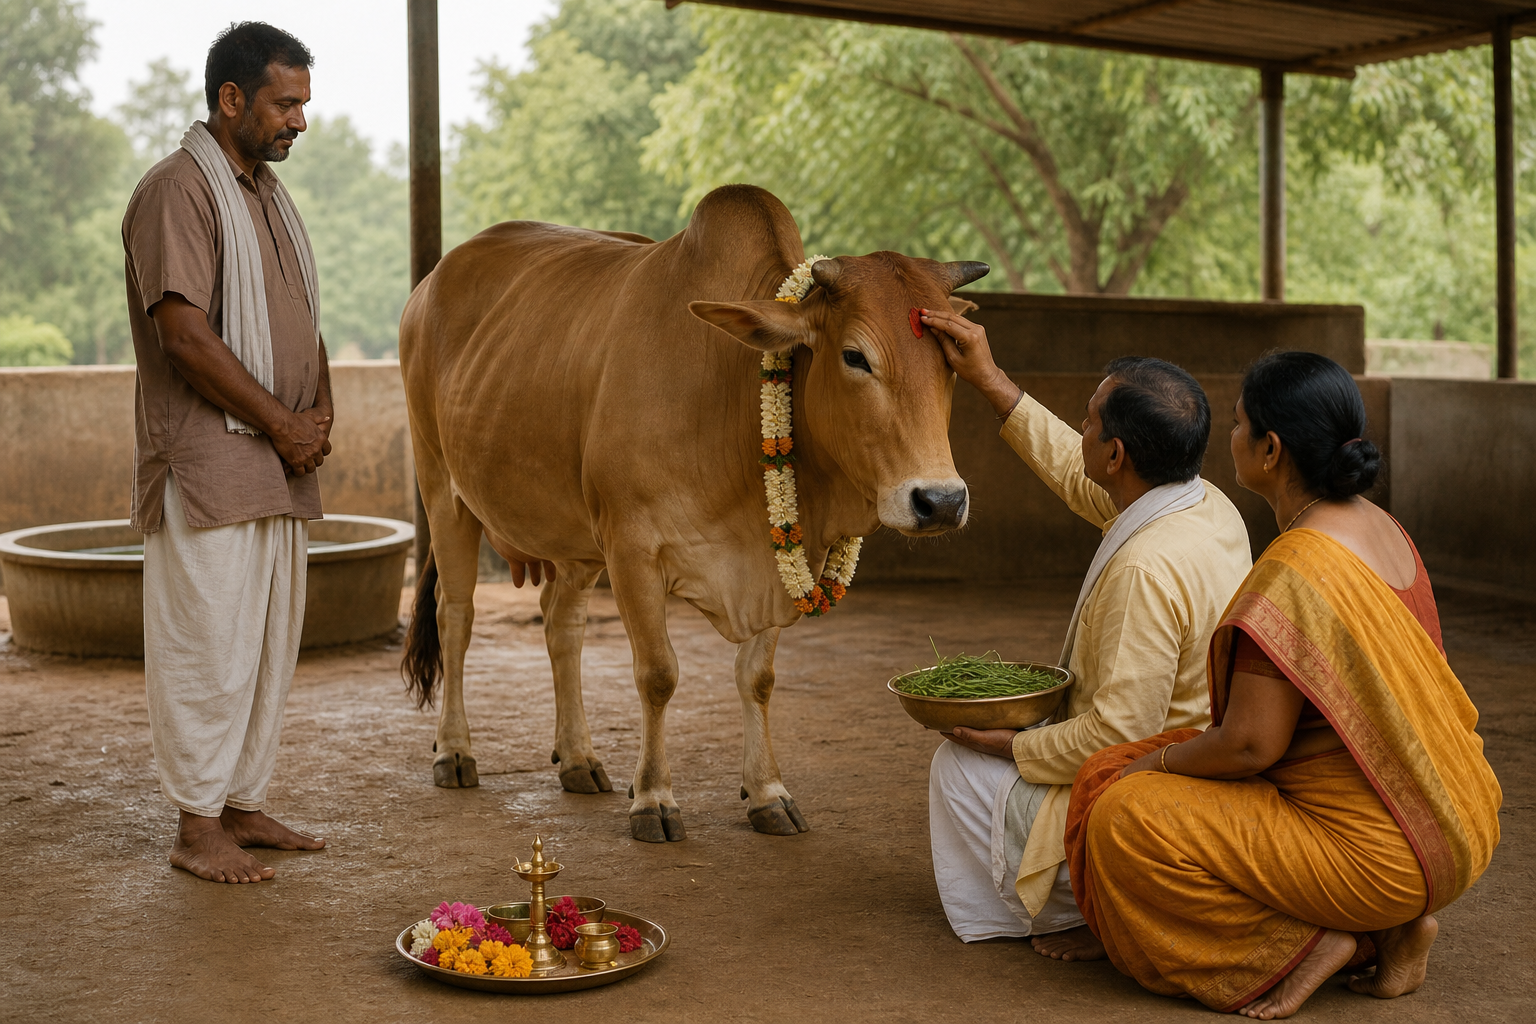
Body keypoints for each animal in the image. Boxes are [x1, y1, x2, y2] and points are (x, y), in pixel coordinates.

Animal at [399, 184, 987, 842]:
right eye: (855, 356)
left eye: (953, 357)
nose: (940, 501)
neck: (729, 389)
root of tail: (434, 278)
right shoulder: (631, 546)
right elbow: (657, 674)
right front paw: (654, 798)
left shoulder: (779, 557)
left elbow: (756, 678)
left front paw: (767, 792)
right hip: (441, 486)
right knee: (455, 616)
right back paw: (454, 750)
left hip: (573, 533)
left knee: (561, 624)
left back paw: (578, 757)